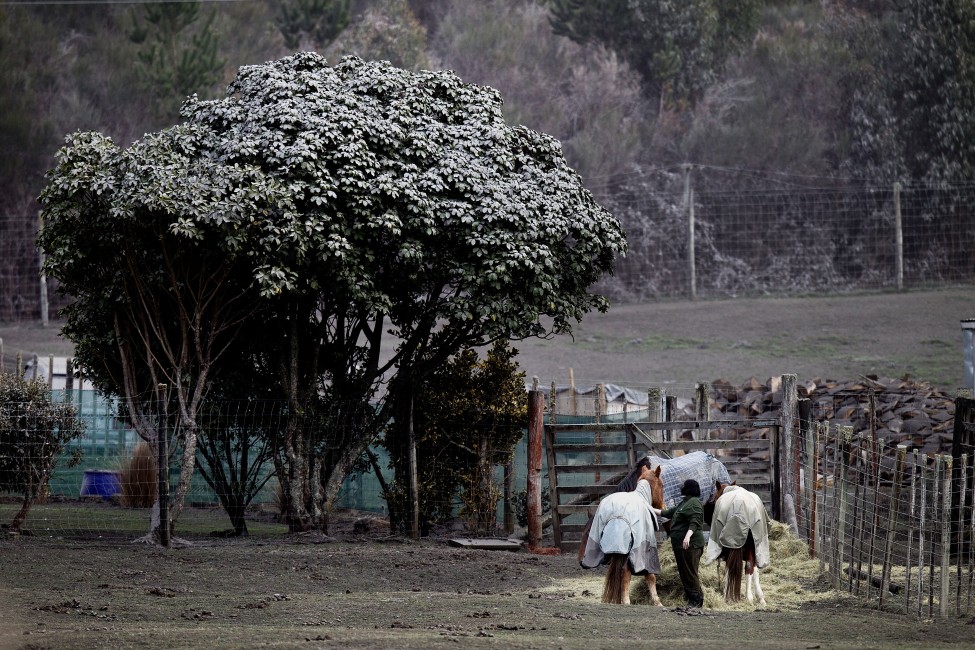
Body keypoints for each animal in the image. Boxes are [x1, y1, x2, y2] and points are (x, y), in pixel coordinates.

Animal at [576, 456, 668, 604]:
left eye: (588, 534)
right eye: (662, 485)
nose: (663, 506)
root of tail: (617, 514)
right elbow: (650, 575)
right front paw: (657, 602)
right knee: (625, 571)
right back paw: (626, 601)